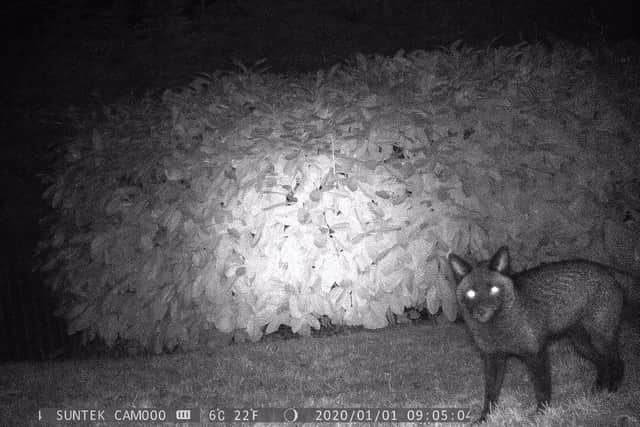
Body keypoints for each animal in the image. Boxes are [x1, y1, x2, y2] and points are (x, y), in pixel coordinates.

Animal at [448, 246, 640, 423]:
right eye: (471, 293)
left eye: (494, 289)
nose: (481, 311)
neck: (498, 328)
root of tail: (606, 269)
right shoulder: (493, 359)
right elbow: (490, 393)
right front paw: (484, 418)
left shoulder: (536, 354)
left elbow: (542, 388)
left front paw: (541, 414)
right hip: (581, 344)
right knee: (602, 363)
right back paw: (598, 390)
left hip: (601, 339)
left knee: (617, 363)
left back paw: (612, 390)